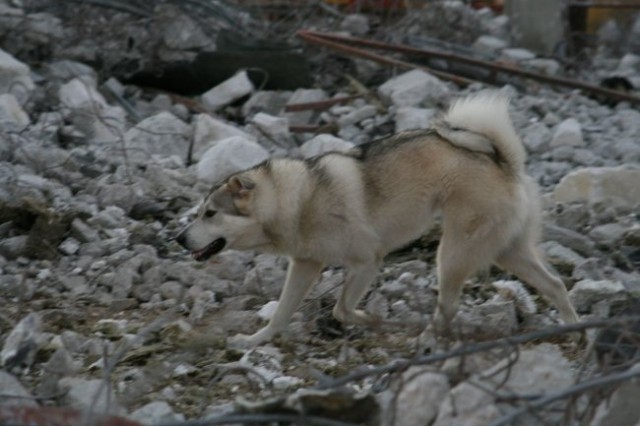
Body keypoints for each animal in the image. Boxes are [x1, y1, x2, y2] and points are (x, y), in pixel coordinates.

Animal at [174, 92, 580, 346]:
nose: (178, 240)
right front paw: (256, 341)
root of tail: (503, 160)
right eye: (199, 212)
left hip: (452, 255)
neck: (298, 199)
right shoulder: (305, 266)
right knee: (556, 285)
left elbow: (341, 308)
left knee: (448, 307)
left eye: (211, 213)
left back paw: (424, 340)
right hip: (507, 252)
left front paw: (373, 322)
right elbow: (281, 314)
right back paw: (577, 329)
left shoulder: (367, 262)